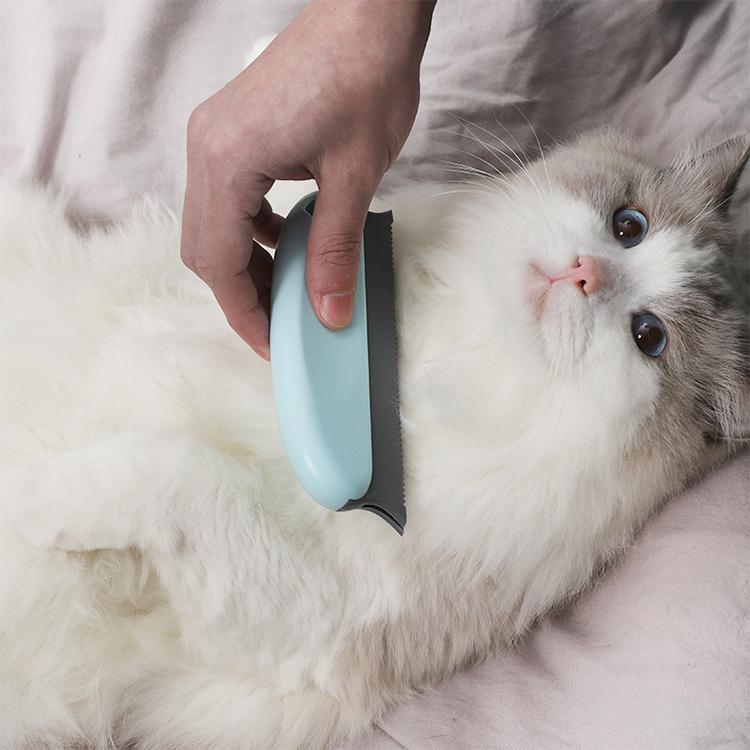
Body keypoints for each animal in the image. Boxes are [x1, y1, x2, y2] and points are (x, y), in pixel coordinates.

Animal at [0, 130, 747, 749]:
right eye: (629, 226)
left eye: (649, 337)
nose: (585, 273)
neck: (441, 349)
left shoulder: (317, 627)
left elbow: (172, 471)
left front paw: (33, 498)